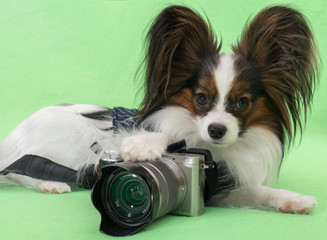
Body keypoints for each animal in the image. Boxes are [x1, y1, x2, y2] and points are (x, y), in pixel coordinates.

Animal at [0, 5, 320, 214]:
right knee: (16, 171)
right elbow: (161, 137)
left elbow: (258, 192)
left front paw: (292, 200)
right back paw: (49, 184)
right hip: (69, 145)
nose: (216, 130)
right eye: (201, 98)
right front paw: (143, 146)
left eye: (242, 102)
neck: (209, 149)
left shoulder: (222, 188)